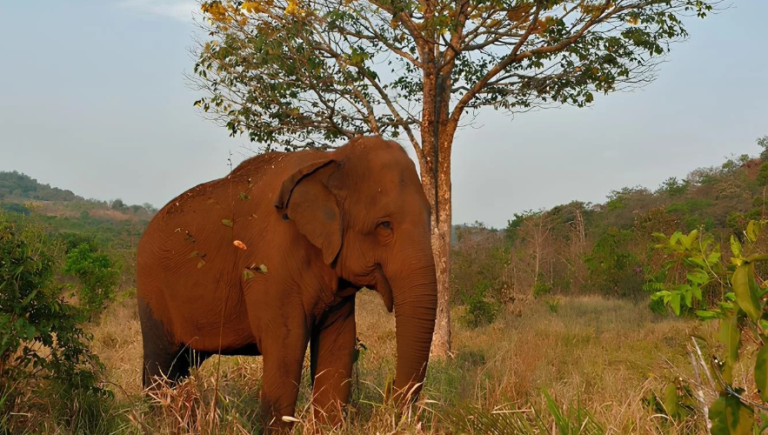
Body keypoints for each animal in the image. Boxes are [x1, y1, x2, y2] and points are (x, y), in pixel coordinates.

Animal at [136, 135, 438, 431]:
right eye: (385, 225)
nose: (390, 410)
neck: (332, 158)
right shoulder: (270, 259)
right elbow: (286, 343)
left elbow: (338, 344)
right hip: (152, 292)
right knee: (162, 361)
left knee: (183, 363)